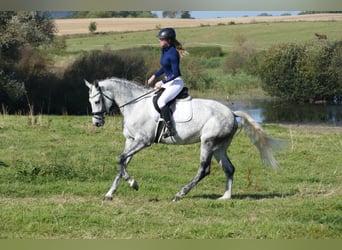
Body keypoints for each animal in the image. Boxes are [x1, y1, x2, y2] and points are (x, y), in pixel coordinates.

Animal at [85, 77, 280, 201]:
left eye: (97, 101)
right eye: (90, 101)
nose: (97, 122)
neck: (135, 104)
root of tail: (232, 113)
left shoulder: (142, 141)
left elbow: (120, 159)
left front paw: (134, 184)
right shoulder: (131, 141)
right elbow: (122, 163)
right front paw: (110, 194)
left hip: (207, 143)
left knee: (204, 170)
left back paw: (180, 194)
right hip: (219, 147)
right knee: (229, 168)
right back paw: (225, 197)